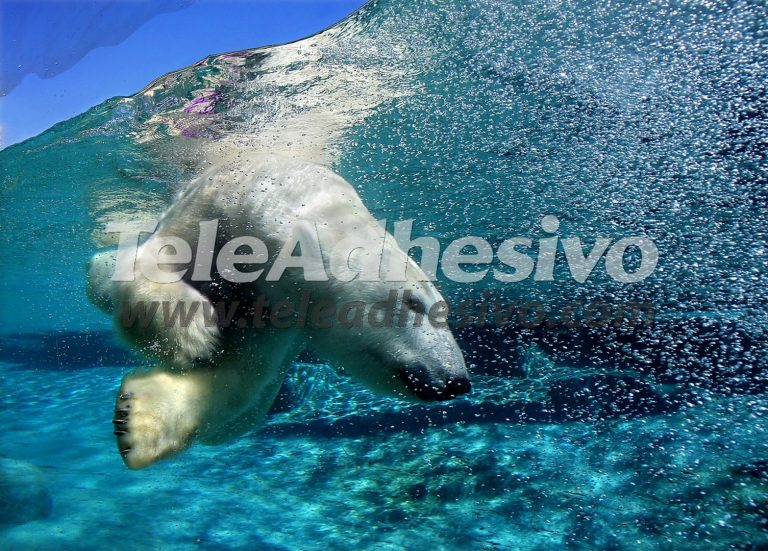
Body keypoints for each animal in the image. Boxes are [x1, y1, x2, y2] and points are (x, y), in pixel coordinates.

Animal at [87, 154, 470, 469]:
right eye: (413, 303)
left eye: (444, 310)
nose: (457, 381)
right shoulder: (213, 210)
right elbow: (148, 261)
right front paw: (193, 334)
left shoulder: (279, 316)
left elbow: (242, 376)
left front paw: (136, 420)